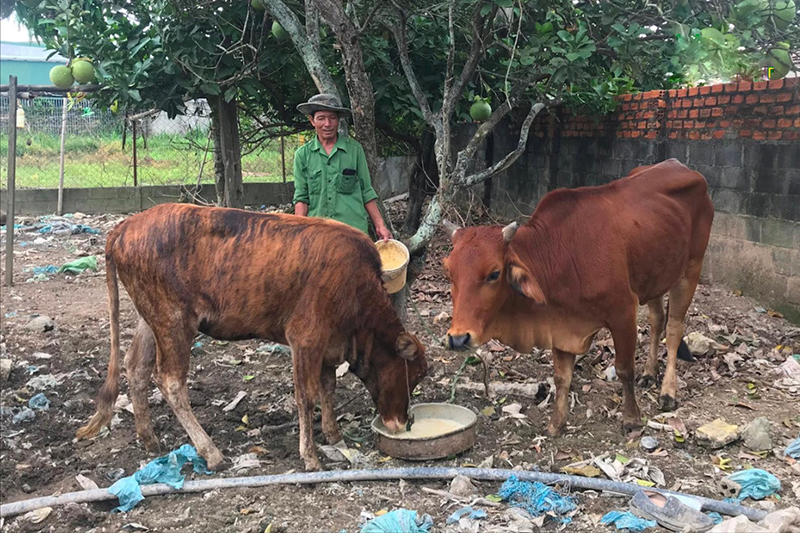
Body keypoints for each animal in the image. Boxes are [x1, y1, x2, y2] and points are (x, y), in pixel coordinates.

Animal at [76, 204, 424, 470]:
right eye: (415, 374)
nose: (404, 422)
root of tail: (127, 225)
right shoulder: (306, 338)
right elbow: (307, 396)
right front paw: (310, 457)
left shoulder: (328, 344)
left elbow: (328, 389)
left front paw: (334, 435)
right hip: (174, 322)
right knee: (170, 381)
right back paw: (212, 453)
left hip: (151, 319)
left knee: (136, 367)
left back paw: (149, 439)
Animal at [444, 158, 712, 436]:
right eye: (449, 272)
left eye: (494, 274)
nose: (458, 339)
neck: (561, 255)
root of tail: (679, 165)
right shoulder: (561, 325)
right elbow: (562, 377)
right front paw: (556, 424)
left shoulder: (623, 312)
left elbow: (624, 369)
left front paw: (631, 419)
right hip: (656, 276)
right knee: (658, 320)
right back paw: (650, 373)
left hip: (691, 268)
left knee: (674, 329)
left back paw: (668, 391)